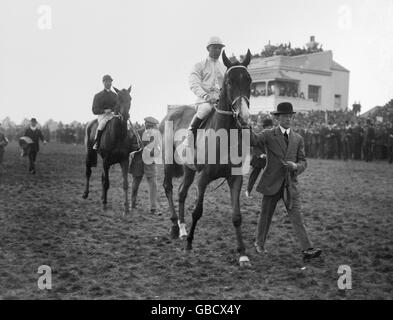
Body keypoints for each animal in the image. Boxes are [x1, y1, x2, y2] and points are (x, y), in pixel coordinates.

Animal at [82, 86, 140, 214]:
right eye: (119, 99)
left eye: (130, 98)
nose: (125, 115)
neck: (117, 134)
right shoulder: (106, 161)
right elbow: (106, 183)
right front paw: (104, 205)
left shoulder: (124, 160)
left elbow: (125, 183)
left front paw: (126, 208)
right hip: (89, 154)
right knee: (88, 172)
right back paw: (86, 194)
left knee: (102, 177)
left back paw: (102, 197)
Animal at [161, 49, 253, 264]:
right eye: (229, 82)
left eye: (249, 81)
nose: (243, 117)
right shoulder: (203, 178)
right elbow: (197, 212)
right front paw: (189, 246)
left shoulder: (235, 178)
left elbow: (237, 216)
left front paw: (242, 253)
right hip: (169, 162)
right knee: (168, 188)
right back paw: (174, 227)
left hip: (188, 170)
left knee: (181, 192)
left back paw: (182, 229)